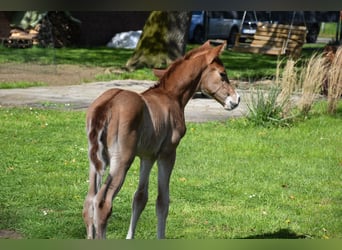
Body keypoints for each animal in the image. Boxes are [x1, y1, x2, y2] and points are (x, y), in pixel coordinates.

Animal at [82, 40, 240, 238]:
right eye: (222, 74)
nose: (236, 100)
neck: (171, 96)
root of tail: (106, 105)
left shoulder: (147, 156)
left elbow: (140, 197)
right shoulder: (167, 154)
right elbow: (162, 201)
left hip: (95, 161)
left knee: (89, 202)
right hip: (122, 160)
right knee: (103, 203)